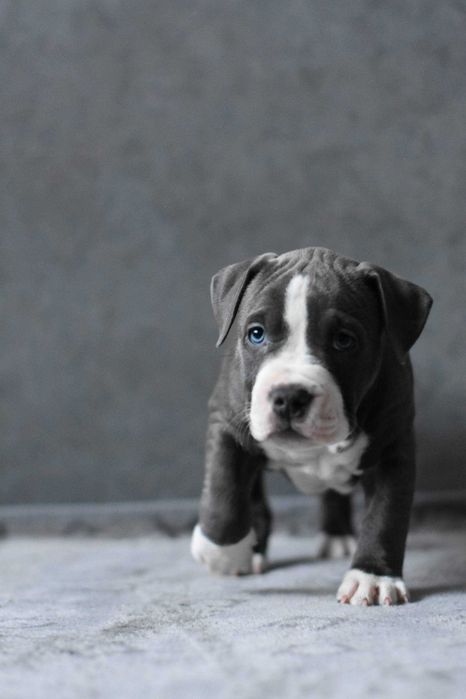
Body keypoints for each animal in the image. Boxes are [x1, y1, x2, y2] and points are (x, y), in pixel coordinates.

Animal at [191, 247, 432, 606]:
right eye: (256, 333)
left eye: (344, 340)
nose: (289, 396)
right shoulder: (228, 422)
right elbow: (223, 491)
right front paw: (223, 554)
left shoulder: (393, 449)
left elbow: (385, 515)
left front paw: (373, 578)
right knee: (253, 499)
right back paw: (254, 550)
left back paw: (336, 535)